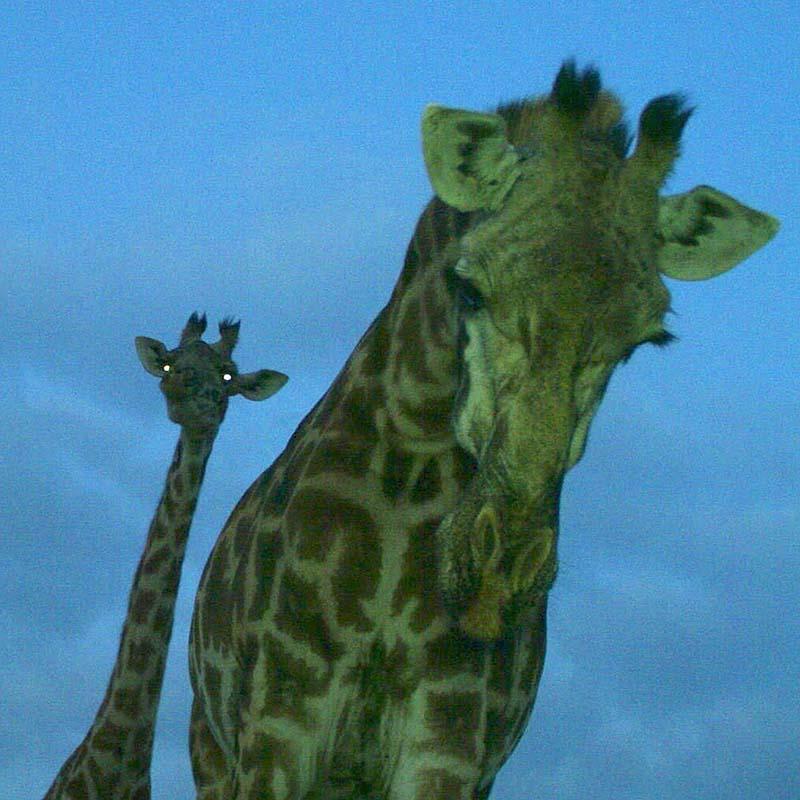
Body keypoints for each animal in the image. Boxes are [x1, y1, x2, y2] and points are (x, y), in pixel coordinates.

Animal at [186, 62, 776, 800]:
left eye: (647, 341)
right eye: (466, 287)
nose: (497, 574)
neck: (411, 473)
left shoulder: (451, 733)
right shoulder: (281, 711)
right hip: (213, 748)